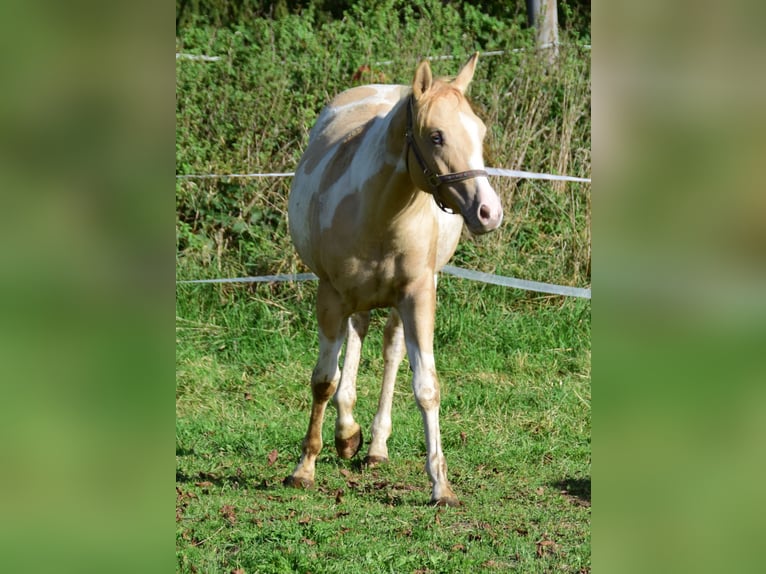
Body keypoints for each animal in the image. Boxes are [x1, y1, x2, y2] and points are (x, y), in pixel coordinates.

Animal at [284, 51, 504, 506]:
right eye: (436, 136)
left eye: (479, 131)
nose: (489, 212)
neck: (379, 211)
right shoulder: (330, 296)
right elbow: (323, 381)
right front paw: (304, 468)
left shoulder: (418, 296)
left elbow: (426, 386)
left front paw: (441, 485)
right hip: (353, 298)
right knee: (354, 339)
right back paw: (346, 434)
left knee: (389, 350)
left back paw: (373, 446)